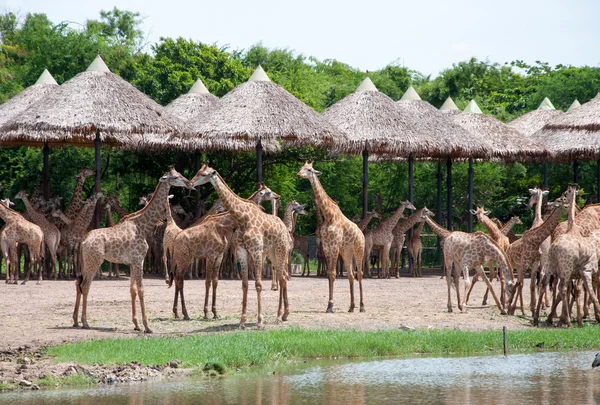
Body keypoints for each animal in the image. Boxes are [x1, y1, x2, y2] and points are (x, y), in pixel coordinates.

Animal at [74, 167, 190, 332]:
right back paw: (85, 322)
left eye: (179, 174)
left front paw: (136, 324)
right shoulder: (138, 260)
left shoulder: (131, 263)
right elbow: (141, 290)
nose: (189, 183)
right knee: (85, 285)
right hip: (94, 261)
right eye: (175, 177)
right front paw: (147, 326)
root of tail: (83, 241)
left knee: (78, 283)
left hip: (85, 262)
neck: (142, 225)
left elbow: (133, 289)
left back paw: (75, 321)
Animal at [188, 166, 290, 326]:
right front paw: (242, 321)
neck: (242, 217)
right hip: (272, 253)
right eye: (198, 172)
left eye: (204, 174)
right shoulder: (241, 251)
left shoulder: (256, 251)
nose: (191, 183)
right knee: (283, 276)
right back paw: (283, 314)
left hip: (280, 250)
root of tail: (285, 228)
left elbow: (258, 284)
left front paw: (259, 321)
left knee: (282, 277)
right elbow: (245, 284)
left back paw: (280, 315)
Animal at [296, 161, 366, 312]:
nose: (298, 174)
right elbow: (329, 274)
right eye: (301, 168)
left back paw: (362, 307)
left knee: (360, 274)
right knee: (351, 275)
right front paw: (329, 304)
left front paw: (330, 306)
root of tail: (361, 233)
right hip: (346, 251)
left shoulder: (334, 246)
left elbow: (333, 273)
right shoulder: (327, 246)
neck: (328, 216)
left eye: (309, 170)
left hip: (359, 249)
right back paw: (351, 307)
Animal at [548, 185, 600, 326]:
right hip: (566, 268)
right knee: (565, 288)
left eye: (564, 195)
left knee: (557, 286)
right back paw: (570, 321)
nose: (550, 204)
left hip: (556, 267)